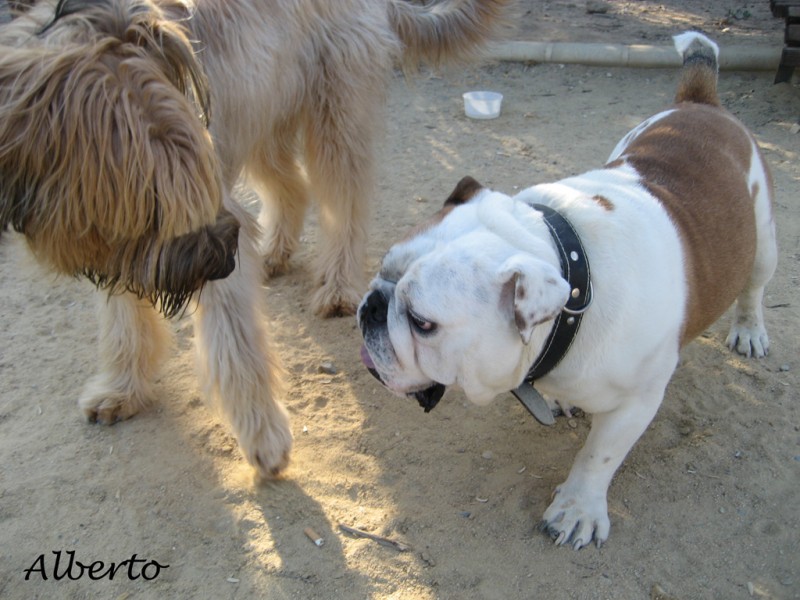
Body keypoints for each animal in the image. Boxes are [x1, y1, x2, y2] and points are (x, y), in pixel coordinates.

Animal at [0, 0, 512, 478]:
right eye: (151, 201)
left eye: (191, 182)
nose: (222, 260)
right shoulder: (114, 240)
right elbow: (123, 315)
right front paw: (120, 387)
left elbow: (236, 346)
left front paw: (264, 437)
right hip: (264, 114)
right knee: (292, 187)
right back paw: (275, 254)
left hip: (334, 114)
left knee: (343, 201)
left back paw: (336, 286)